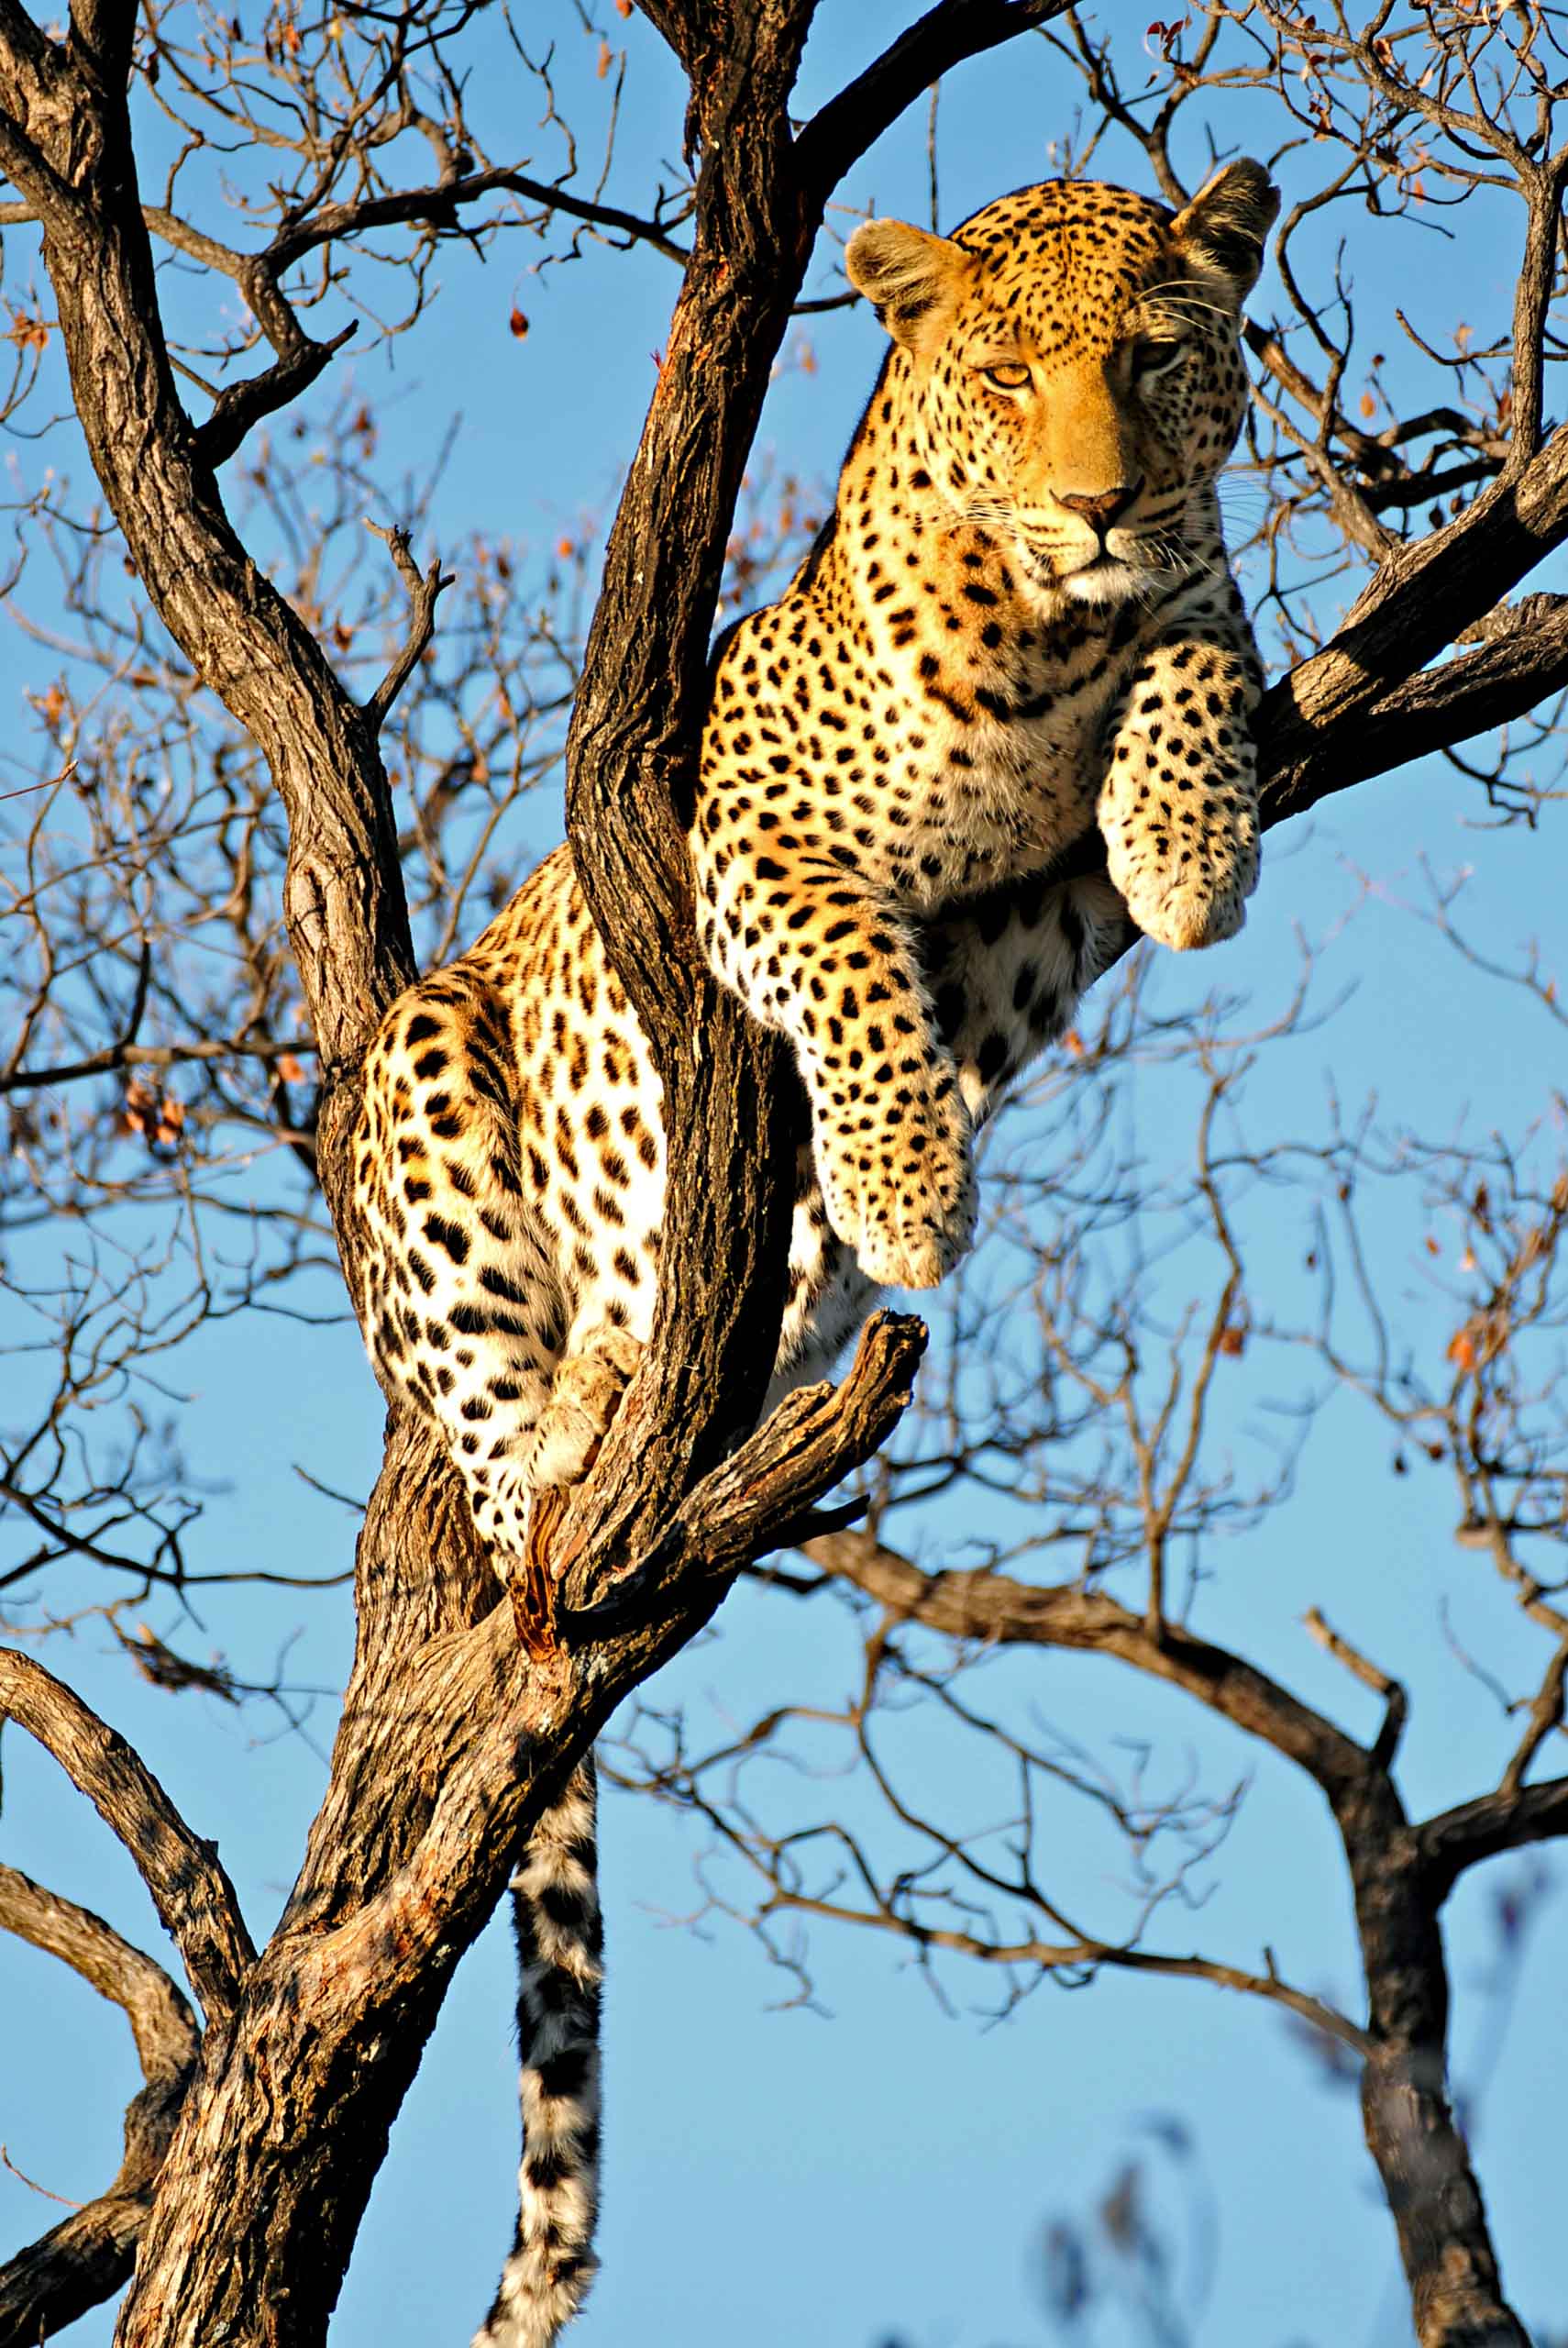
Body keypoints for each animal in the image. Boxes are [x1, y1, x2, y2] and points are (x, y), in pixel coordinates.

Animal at [340, 161, 1276, 2348]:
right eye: (1009, 374)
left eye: (1156, 359)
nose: (1095, 503)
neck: (1036, 636)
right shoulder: (742, 839)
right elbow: (851, 964)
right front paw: (913, 1183)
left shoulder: (1085, 819)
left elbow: (1199, 654)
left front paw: (1193, 847)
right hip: (420, 1068)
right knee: (506, 1470)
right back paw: (591, 1413)